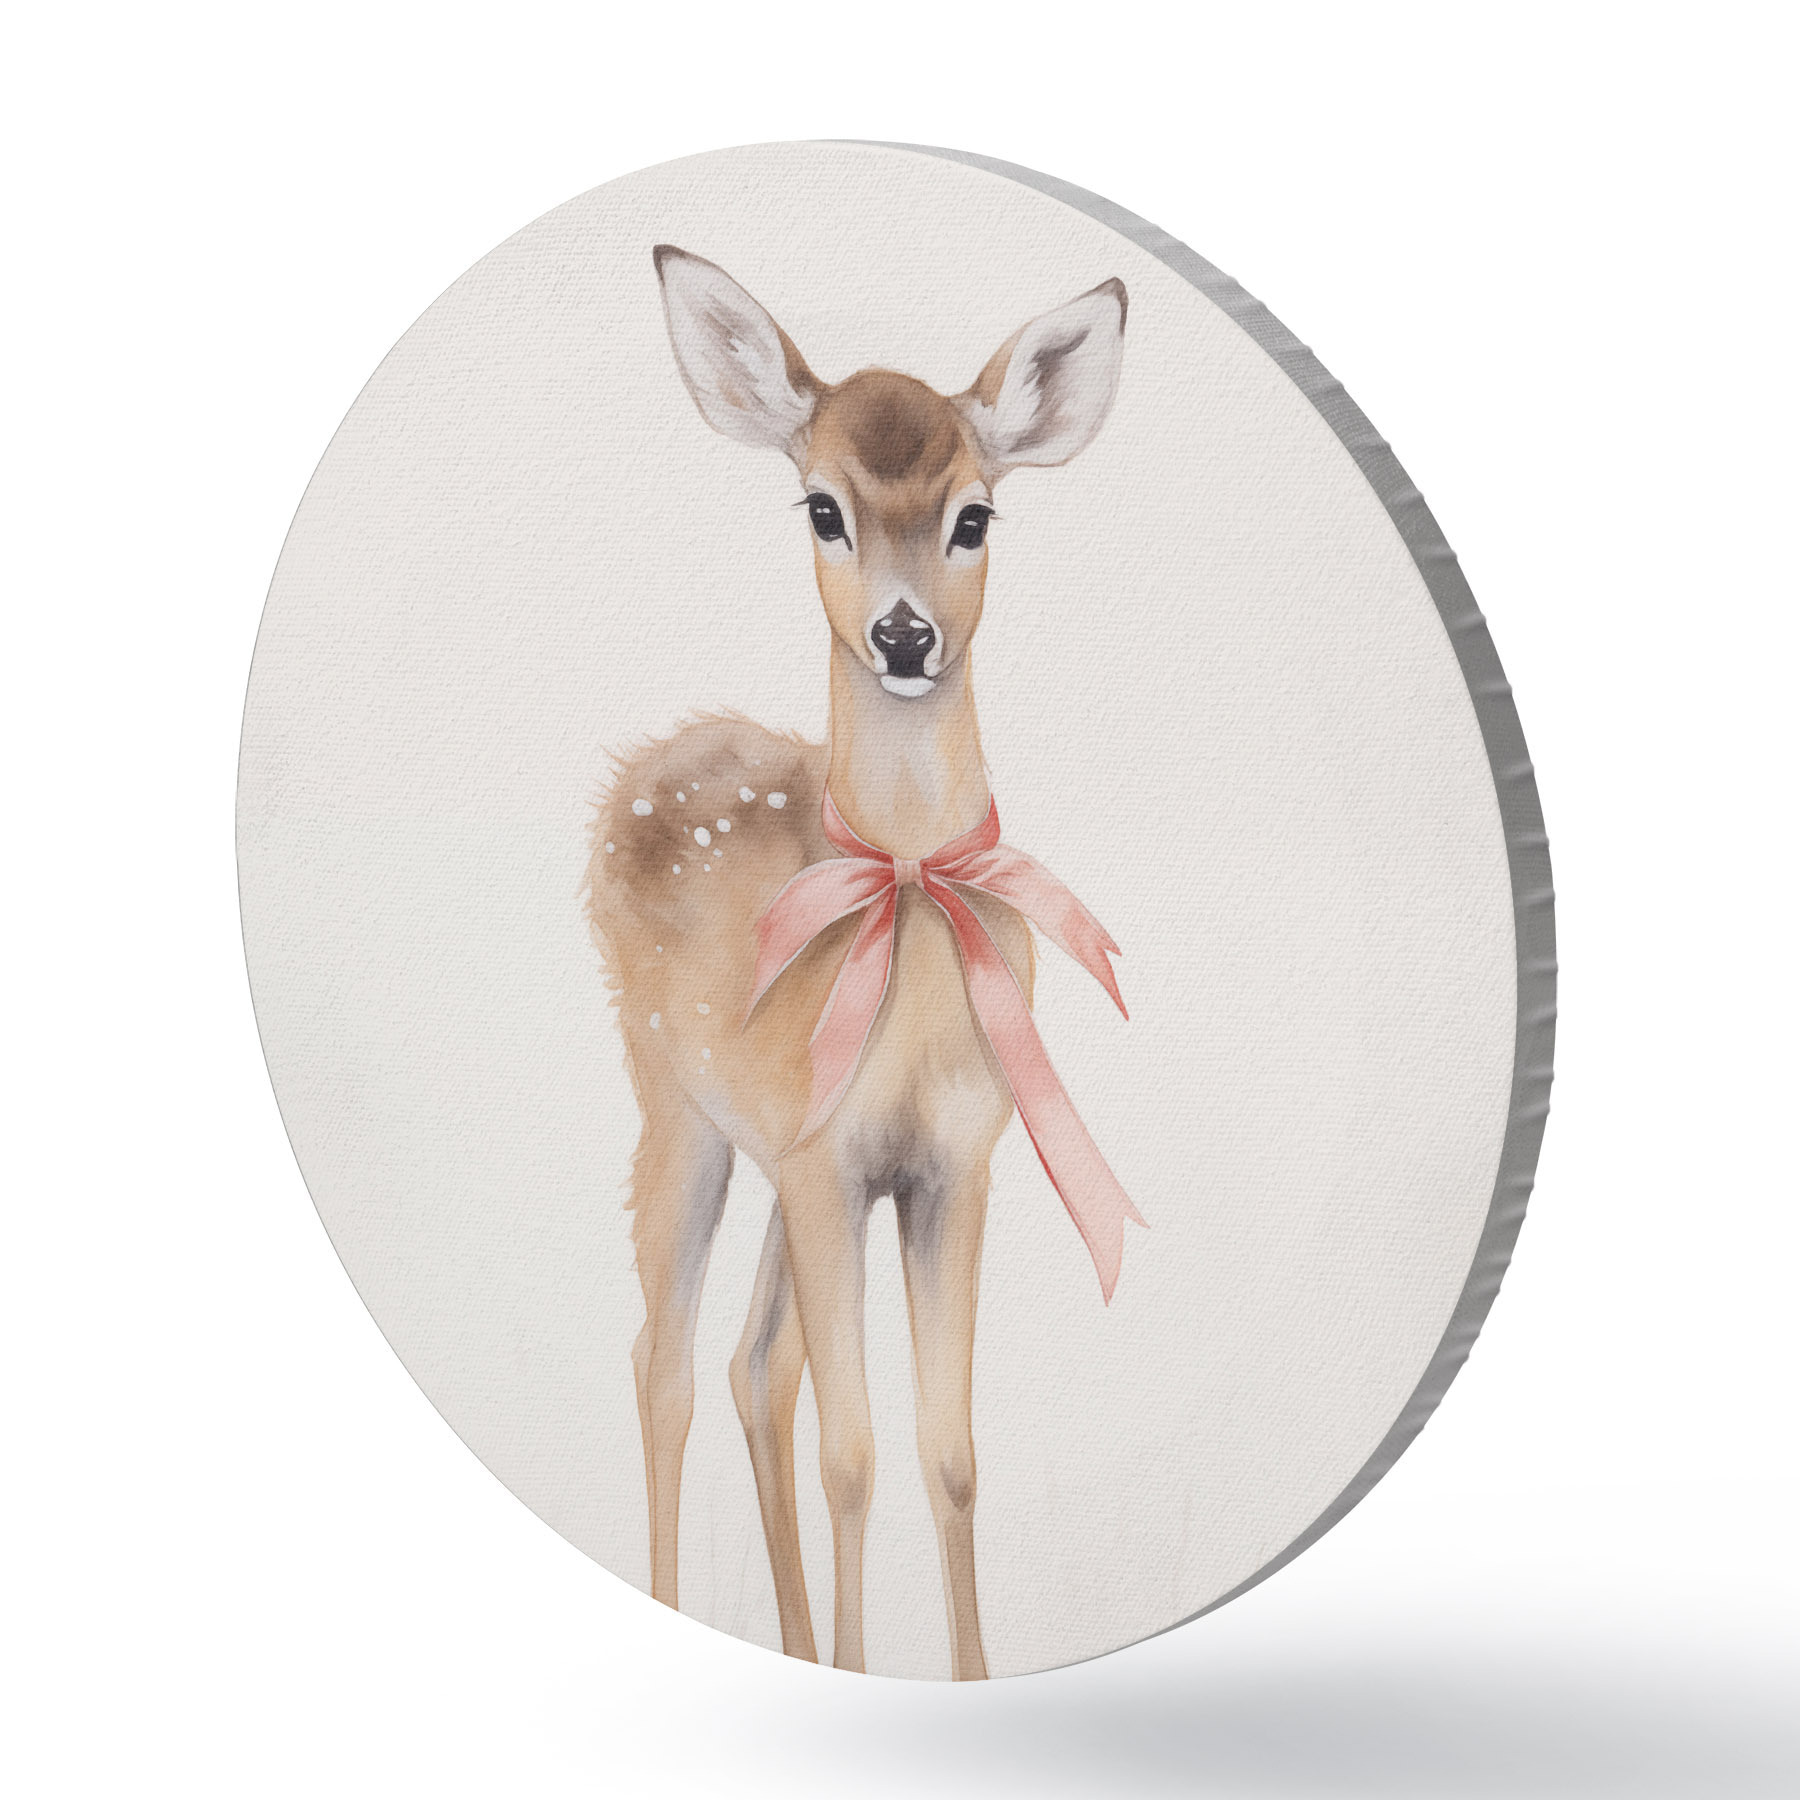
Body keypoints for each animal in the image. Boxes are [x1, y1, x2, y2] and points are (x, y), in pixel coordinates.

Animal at [585, 245, 1140, 1680]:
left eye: (976, 518)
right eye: (822, 507)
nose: (901, 637)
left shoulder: (947, 1164)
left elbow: (949, 1455)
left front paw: (957, 1674)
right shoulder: (832, 1164)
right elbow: (855, 1455)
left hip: (774, 1153)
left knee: (749, 1366)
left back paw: (787, 1641)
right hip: (678, 1104)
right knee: (664, 1363)